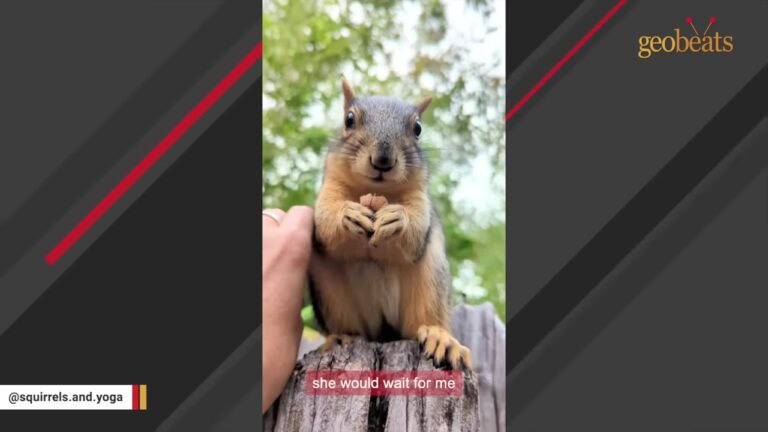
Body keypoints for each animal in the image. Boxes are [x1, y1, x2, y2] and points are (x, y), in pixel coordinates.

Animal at [309, 78, 471, 369]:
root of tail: (385, 332)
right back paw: (340, 338)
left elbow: (415, 229)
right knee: (352, 329)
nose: (382, 159)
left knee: (424, 321)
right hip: (333, 297)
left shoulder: (419, 198)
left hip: (431, 282)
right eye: (349, 119)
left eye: (418, 128)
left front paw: (398, 219)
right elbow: (326, 220)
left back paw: (440, 337)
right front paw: (348, 214)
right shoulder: (329, 189)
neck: (375, 191)